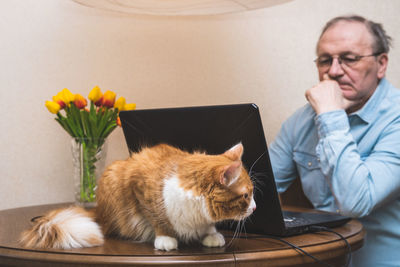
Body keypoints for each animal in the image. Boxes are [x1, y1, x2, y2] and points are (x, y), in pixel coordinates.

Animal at [20, 144, 256, 251]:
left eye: (253, 193)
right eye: (246, 195)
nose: (254, 207)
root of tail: (98, 210)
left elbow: (208, 227)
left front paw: (211, 234)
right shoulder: (138, 185)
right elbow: (158, 218)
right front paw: (165, 238)